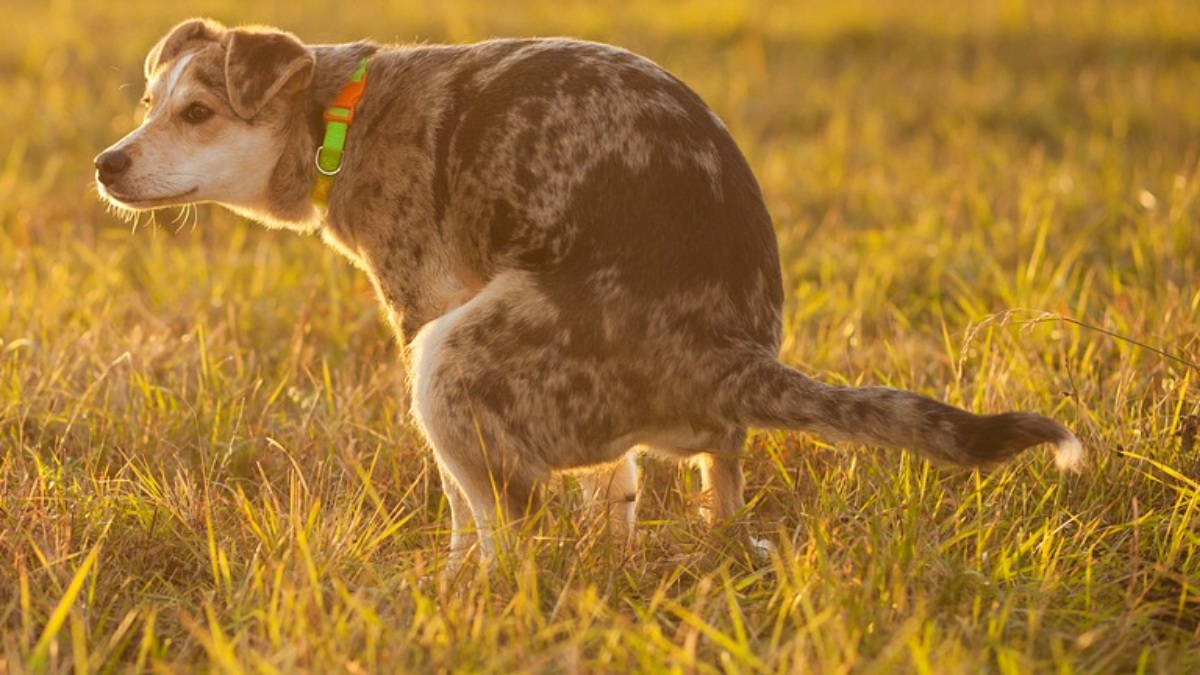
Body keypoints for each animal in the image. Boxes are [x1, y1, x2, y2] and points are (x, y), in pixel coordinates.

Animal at [96, 18, 1089, 559]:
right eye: (147, 105)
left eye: (197, 112)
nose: (106, 163)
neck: (341, 113)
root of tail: (728, 357)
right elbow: (613, 488)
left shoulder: (423, 307)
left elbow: (462, 509)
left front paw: (450, 580)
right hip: (681, 435)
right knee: (712, 489)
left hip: (450, 357)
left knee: (510, 532)